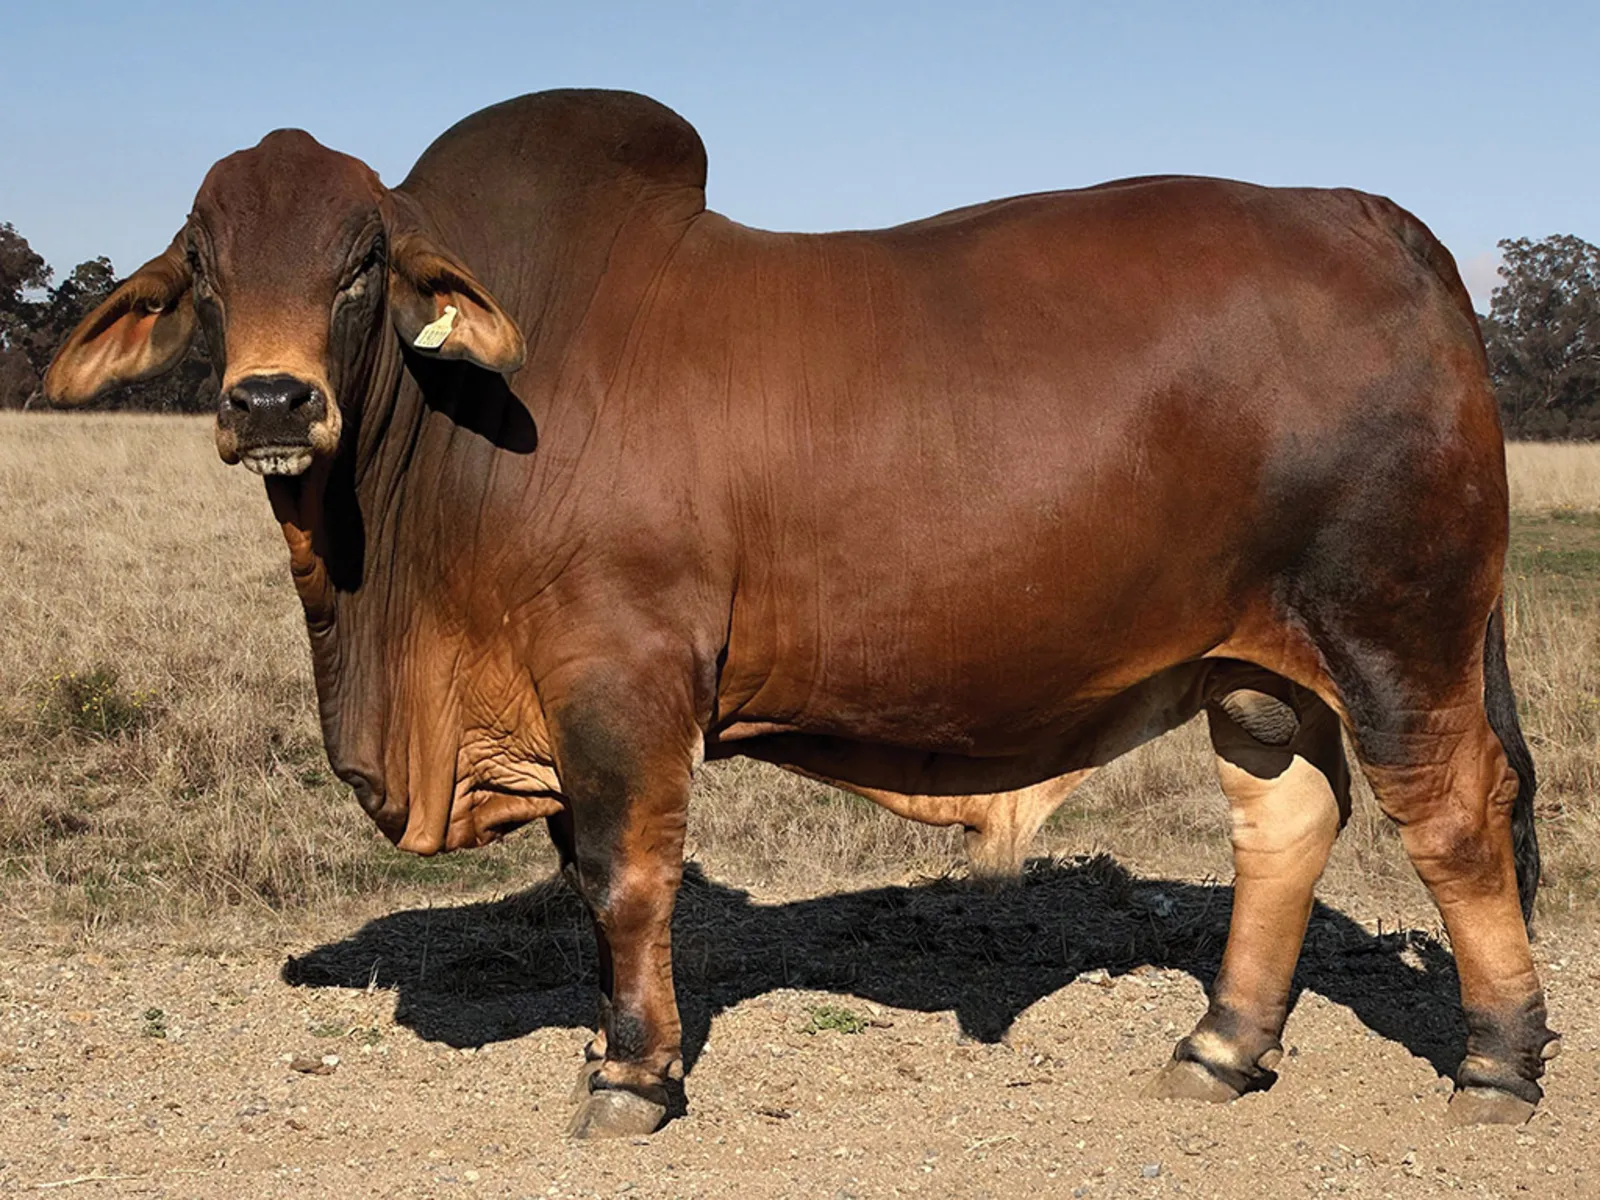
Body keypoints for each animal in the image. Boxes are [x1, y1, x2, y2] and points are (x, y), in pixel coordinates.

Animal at [45, 89, 1558, 1137]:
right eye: (205, 263)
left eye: (360, 263)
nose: (270, 401)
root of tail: (1377, 221)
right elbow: (583, 883)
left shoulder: (623, 676)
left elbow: (623, 876)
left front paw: (632, 1077)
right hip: (1255, 667)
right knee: (1286, 821)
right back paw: (1221, 1047)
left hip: (1398, 633)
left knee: (1455, 813)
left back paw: (1496, 1062)